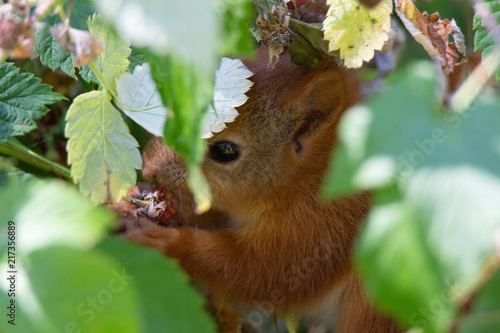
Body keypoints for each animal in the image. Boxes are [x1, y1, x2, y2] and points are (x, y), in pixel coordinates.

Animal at [120, 47, 402, 332]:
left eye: (225, 151)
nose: (149, 169)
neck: (309, 178)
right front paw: (135, 199)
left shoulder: (319, 230)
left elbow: (260, 273)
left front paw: (167, 242)